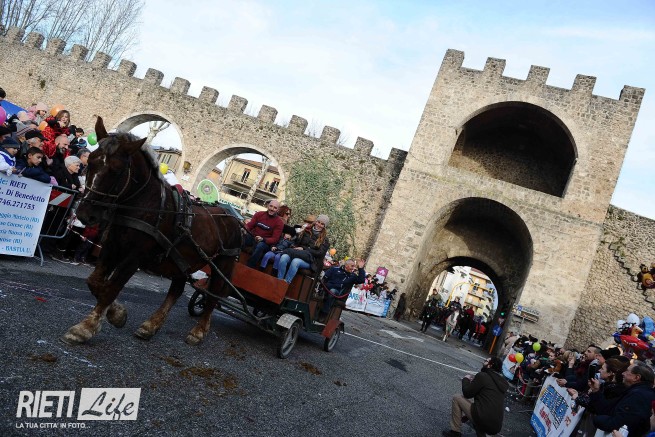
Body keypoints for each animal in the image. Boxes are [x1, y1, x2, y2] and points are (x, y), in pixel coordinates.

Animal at [61, 116, 242, 346]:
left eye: (117, 169)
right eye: (91, 161)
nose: (86, 213)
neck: (145, 204)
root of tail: (232, 217)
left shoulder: (135, 256)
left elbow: (111, 287)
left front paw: (86, 327)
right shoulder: (112, 245)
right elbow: (95, 282)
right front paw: (117, 313)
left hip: (223, 264)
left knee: (212, 296)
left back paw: (199, 331)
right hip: (182, 259)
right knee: (177, 289)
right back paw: (151, 325)